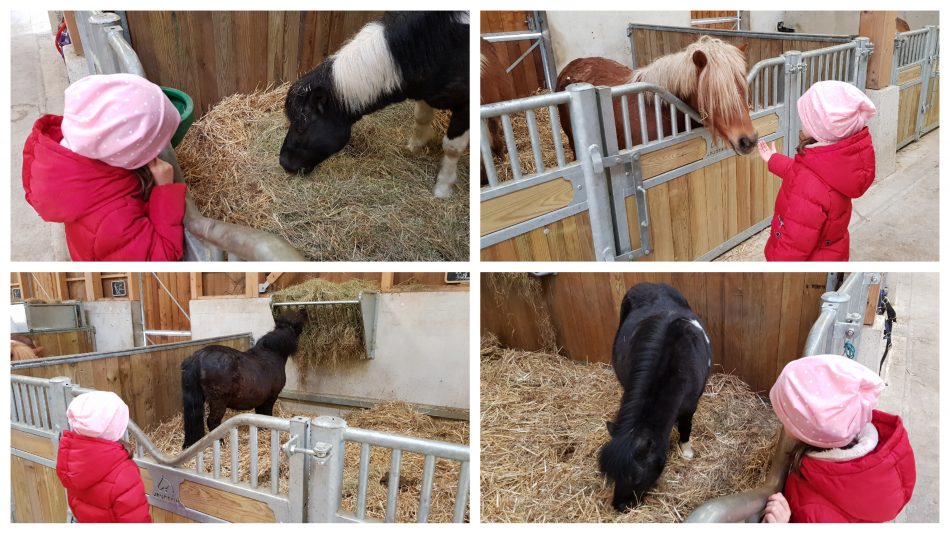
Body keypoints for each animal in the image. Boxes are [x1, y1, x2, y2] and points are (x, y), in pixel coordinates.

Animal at [182, 308, 308, 450]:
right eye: (299, 327)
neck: (271, 355)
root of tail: (199, 357)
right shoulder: (271, 397)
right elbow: (266, 414)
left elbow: (260, 415)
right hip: (218, 401)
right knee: (212, 421)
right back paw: (221, 442)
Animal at [278, 11, 472, 200]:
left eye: (300, 127)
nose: (283, 162)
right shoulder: (424, 91)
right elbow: (421, 118)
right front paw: (415, 146)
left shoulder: (465, 108)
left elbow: (452, 148)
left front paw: (443, 187)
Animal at [600, 286, 712, 512]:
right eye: (614, 476)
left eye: (636, 478)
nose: (619, 506)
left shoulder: (691, 405)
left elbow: (686, 426)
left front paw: (686, 451)